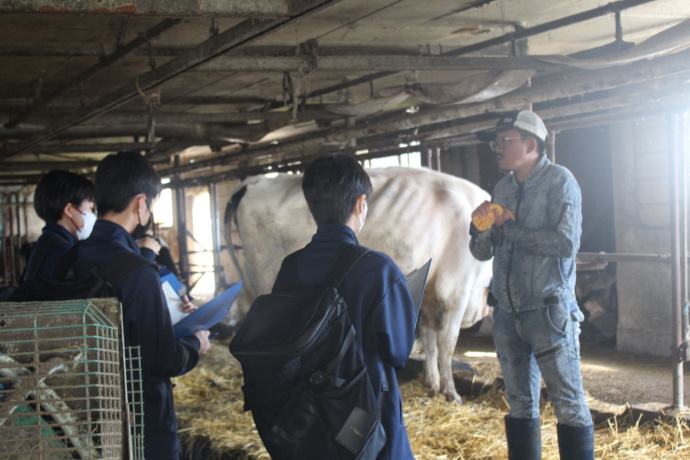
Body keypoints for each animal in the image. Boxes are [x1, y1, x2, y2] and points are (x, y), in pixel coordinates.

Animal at [224, 166, 490, 402]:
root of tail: (255, 180)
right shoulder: (455, 289)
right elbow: (446, 344)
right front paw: (451, 393)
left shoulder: (431, 296)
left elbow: (429, 340)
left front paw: (432, 384)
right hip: (262, 278)